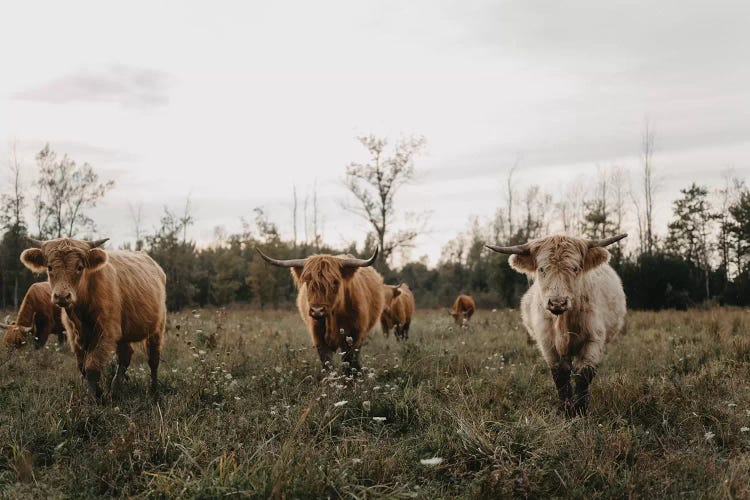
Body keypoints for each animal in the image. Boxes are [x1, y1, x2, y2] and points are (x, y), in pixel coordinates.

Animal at [20, 237, 167, 398]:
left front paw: (91, 398)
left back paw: (153, 389)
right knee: (125, 356)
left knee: (153, 359)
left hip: (157, 328)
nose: (62, 296)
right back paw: (115, 390)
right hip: (124, 333)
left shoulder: (105, 332)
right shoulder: (73, 335)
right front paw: (98, 392)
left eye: (79, 267)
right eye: (49, 267)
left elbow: (92, 367)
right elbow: (82, 367)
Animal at [488, 232, 628, 416]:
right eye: (542, 269)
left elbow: (584, 375)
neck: (563, 321)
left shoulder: (594, 339)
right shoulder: (548, 344)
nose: (557, 303)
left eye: (575, 268)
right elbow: (561, 376)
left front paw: (580, 410)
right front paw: (567, 411)